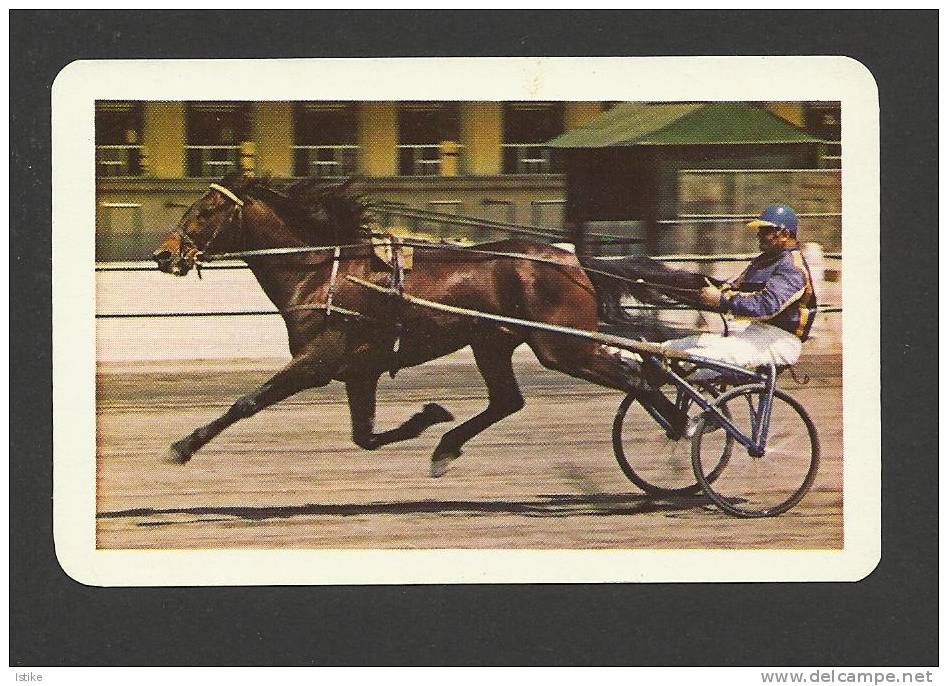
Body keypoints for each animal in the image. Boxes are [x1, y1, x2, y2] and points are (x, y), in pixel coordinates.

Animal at [152, 172, 708, 478]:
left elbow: (248, 401)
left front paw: (182, 446)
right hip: (493, 343)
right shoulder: (359, 371)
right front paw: (429, 416)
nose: (163, 255)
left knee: (636, 375)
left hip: (562, 347)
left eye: (202, 212)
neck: (323, 271)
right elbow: (365, 436)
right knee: (509, 401)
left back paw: (681, 426)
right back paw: (446, 446)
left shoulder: (317, 362)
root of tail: (573, 260)